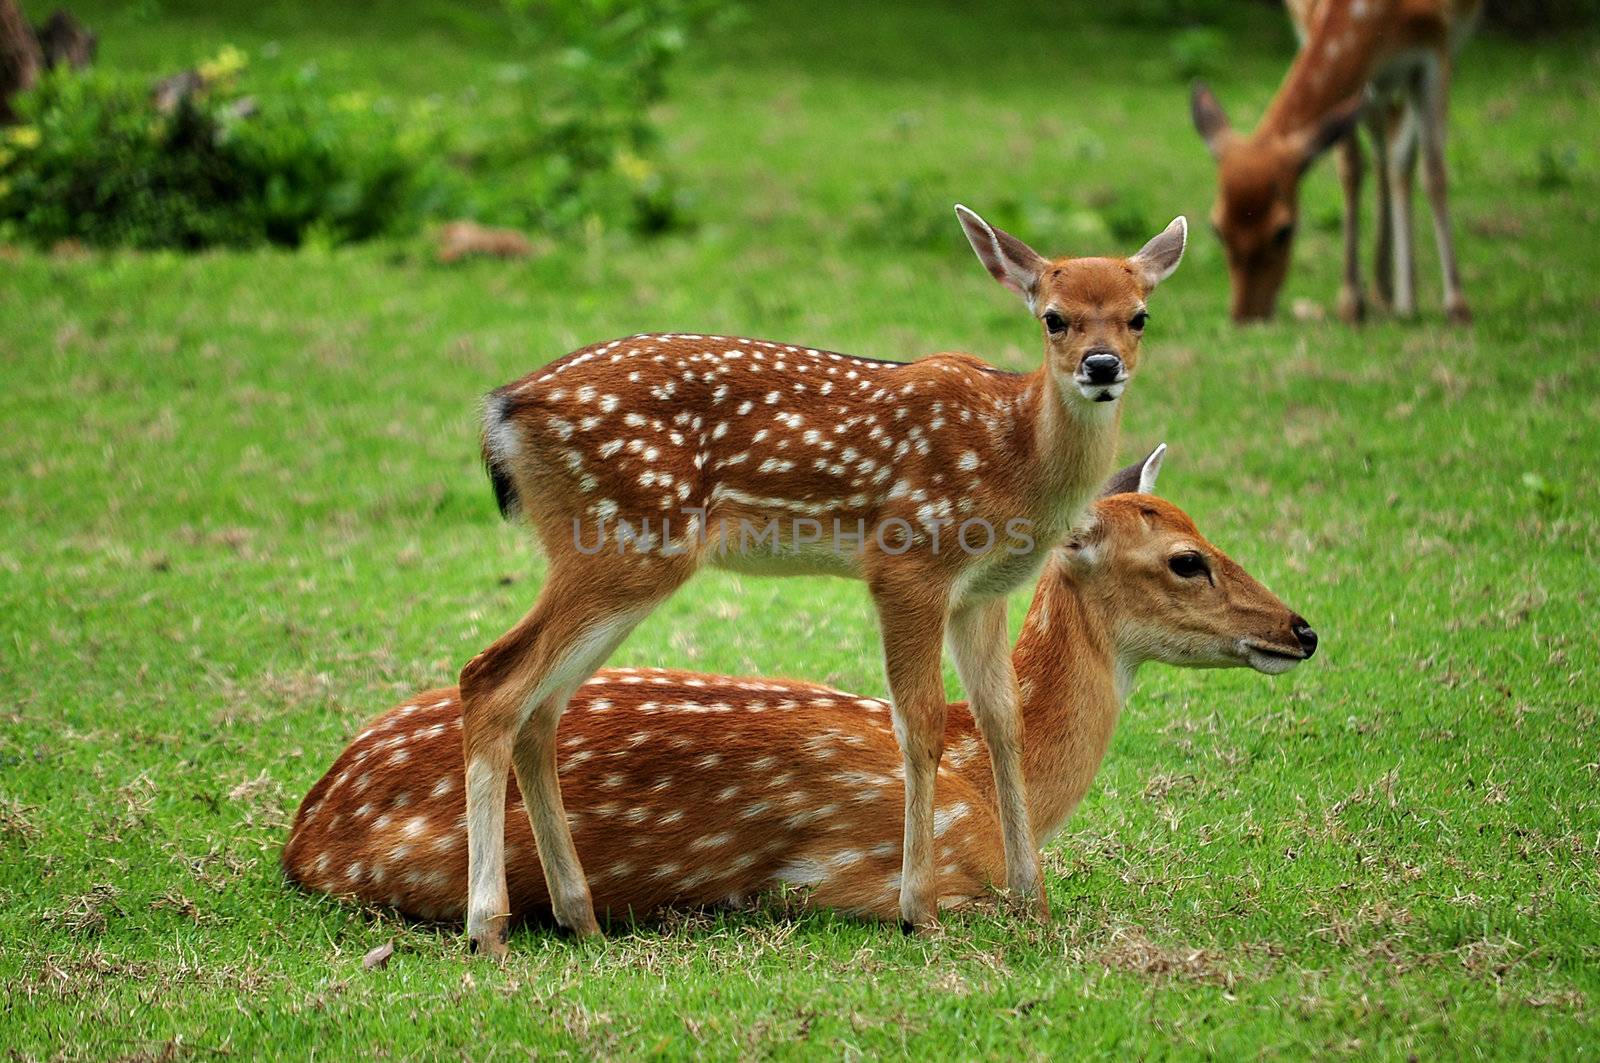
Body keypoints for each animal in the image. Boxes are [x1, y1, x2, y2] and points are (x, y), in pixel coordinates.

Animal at [284, 448, 1312, 928]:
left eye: (1205, 530)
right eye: (1185, 561)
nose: (1302, 628)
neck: (979, 779)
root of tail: (301, 832)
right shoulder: (857, 877)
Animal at [457, 203, 1184, 947]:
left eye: (1140, 316)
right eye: (1053, 317)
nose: (1101, 366)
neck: (1015, 455)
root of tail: (503, 410)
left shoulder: (982, 592)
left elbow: (1001, 721)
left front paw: (1032, 904)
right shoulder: (908, 558)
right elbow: (920, 723)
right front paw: (917, 909)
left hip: (615, 551)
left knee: (539, 708)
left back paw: (580, 917)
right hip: (623, 538)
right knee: (492, 677)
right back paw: (486, 925)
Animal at [1196, 0, 1478, 323]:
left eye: (1283, 231)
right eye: (1217, 227)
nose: (1246, 316)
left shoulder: (1437, 47)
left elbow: (1434, 173)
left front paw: (1457, 305)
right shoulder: (1312, 33)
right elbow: (1350, 167)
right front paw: (1351, 301)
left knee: (1398, 155)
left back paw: (1404, 299)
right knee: (1384, 146)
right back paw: (1383, 291)